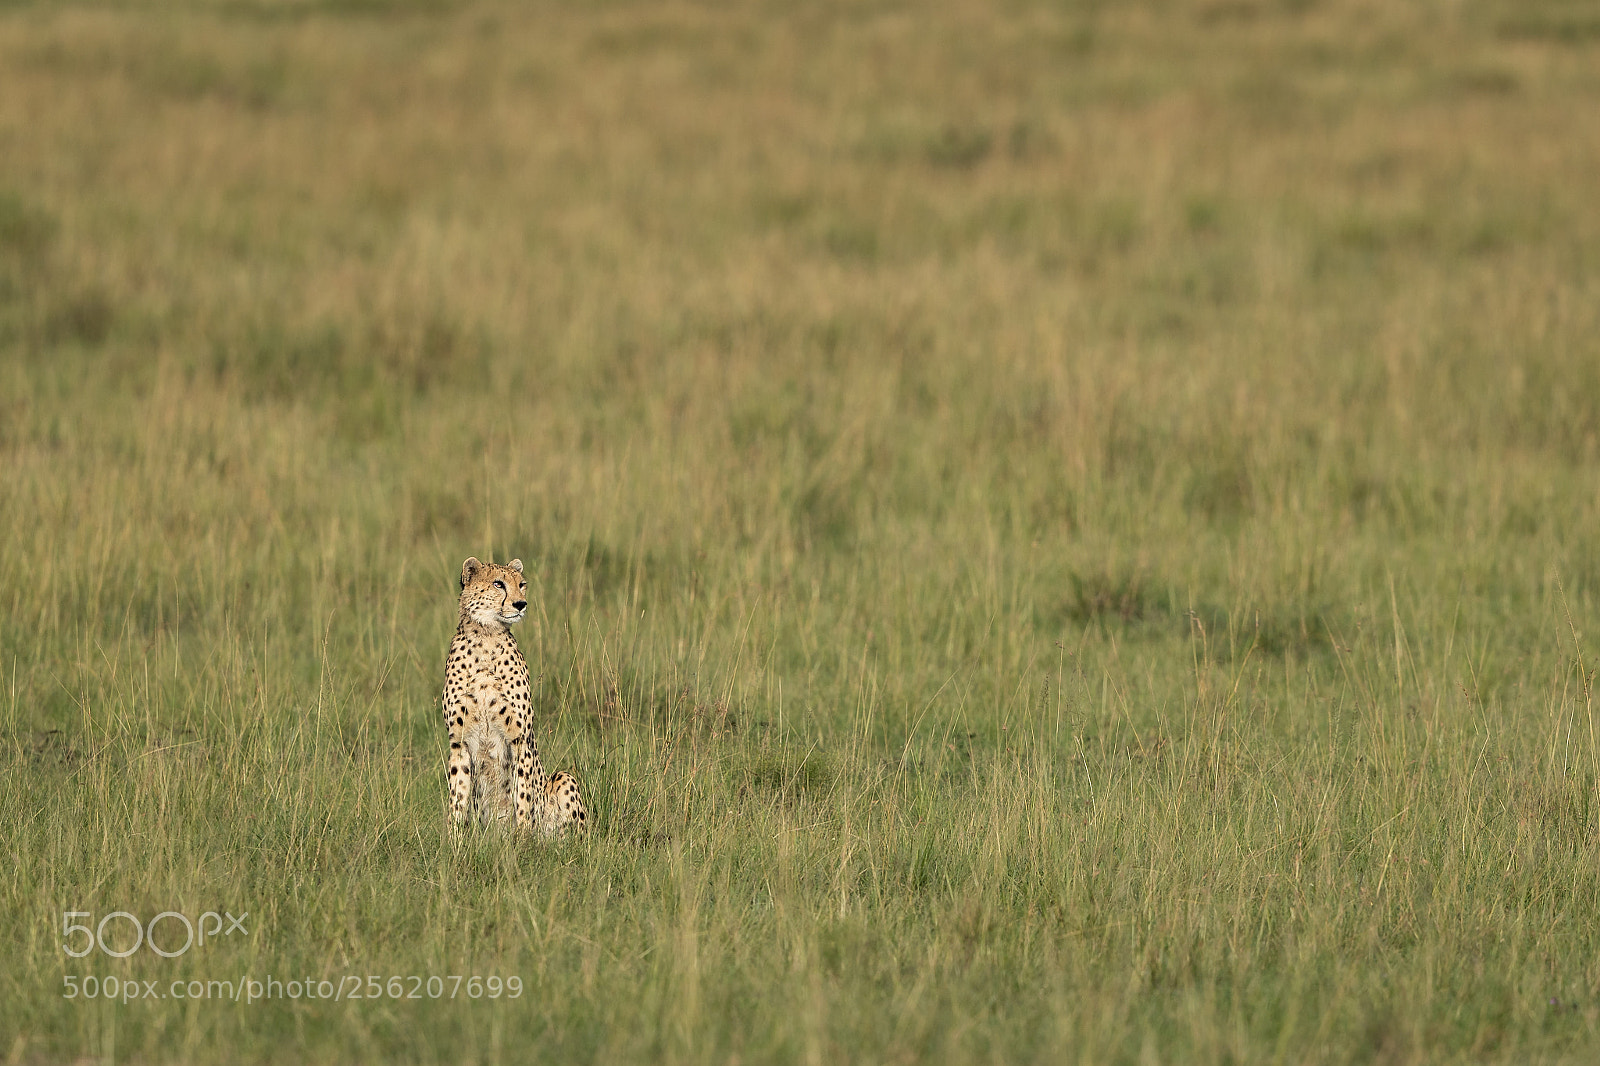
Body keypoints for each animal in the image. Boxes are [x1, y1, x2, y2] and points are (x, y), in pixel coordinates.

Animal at [442, 557, 586, 838]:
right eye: (498, 584)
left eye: (522, 584)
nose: (521, 604)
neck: (485, 636)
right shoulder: (458, 742)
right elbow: (458, 796)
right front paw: (455, 840)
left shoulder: (521, 738)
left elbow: (523, 796)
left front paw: (522, 840)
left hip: (563, 778)